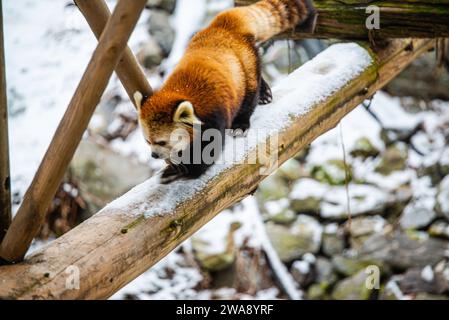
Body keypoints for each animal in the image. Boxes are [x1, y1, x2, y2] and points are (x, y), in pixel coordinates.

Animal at [135, 0, 314, 182]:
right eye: (147, 141)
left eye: (162, 142)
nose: (154, 155)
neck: (181, 91)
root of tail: (223, 26)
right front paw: (175, 165)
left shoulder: (214, 114)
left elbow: (209, 147)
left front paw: (189, 170)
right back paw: (264, 92)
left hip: (246, 66)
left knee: (249, 95)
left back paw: (242, 122)